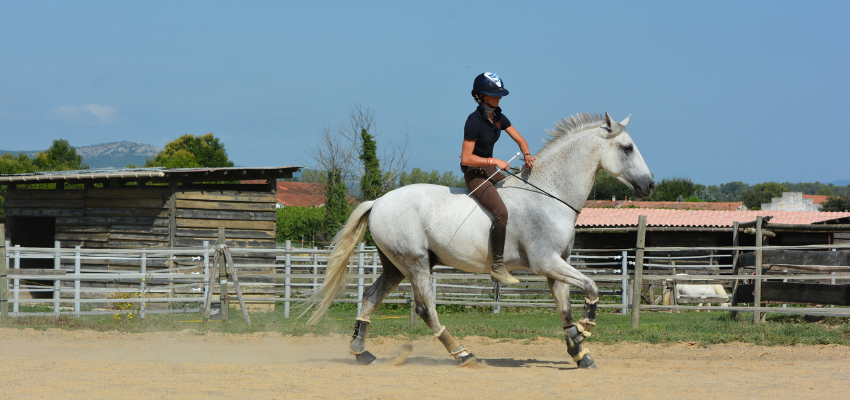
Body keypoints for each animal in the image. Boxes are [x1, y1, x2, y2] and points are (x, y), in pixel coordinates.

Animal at [308, 111, 652, 368]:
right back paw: (463, 354)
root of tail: (377, 202)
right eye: (627, 148)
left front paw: (579, 352)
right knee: (425, 309)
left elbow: (565, 309)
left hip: (396, 266)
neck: (549, 194)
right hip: (416, 264)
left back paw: (361, 351)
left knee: (370, 297)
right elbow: (592, 287)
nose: (649, 185)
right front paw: (584, 332)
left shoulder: (557, 266)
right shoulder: (546, 262)